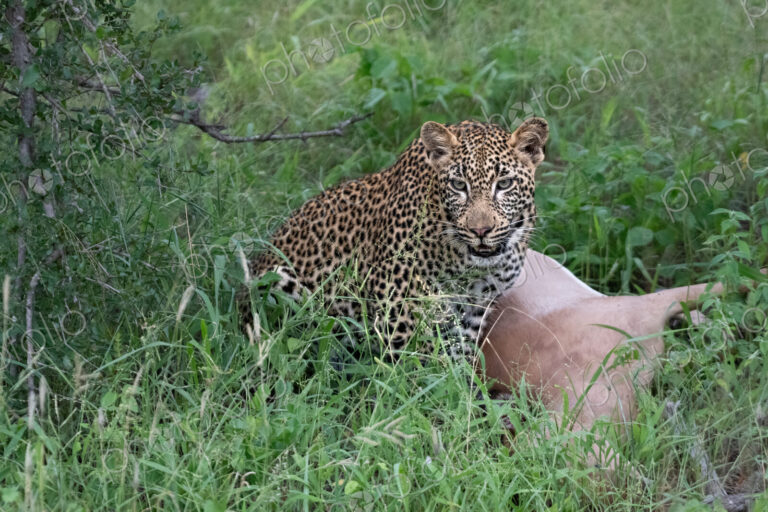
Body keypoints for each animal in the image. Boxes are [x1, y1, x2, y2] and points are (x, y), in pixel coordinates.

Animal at [238, 117, 549, 363]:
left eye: (504, 184)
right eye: (459, 185)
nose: (481, 230)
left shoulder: (474, 307)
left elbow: (456, 358)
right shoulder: (397, 299)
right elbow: (414, 363)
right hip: (276, 283)